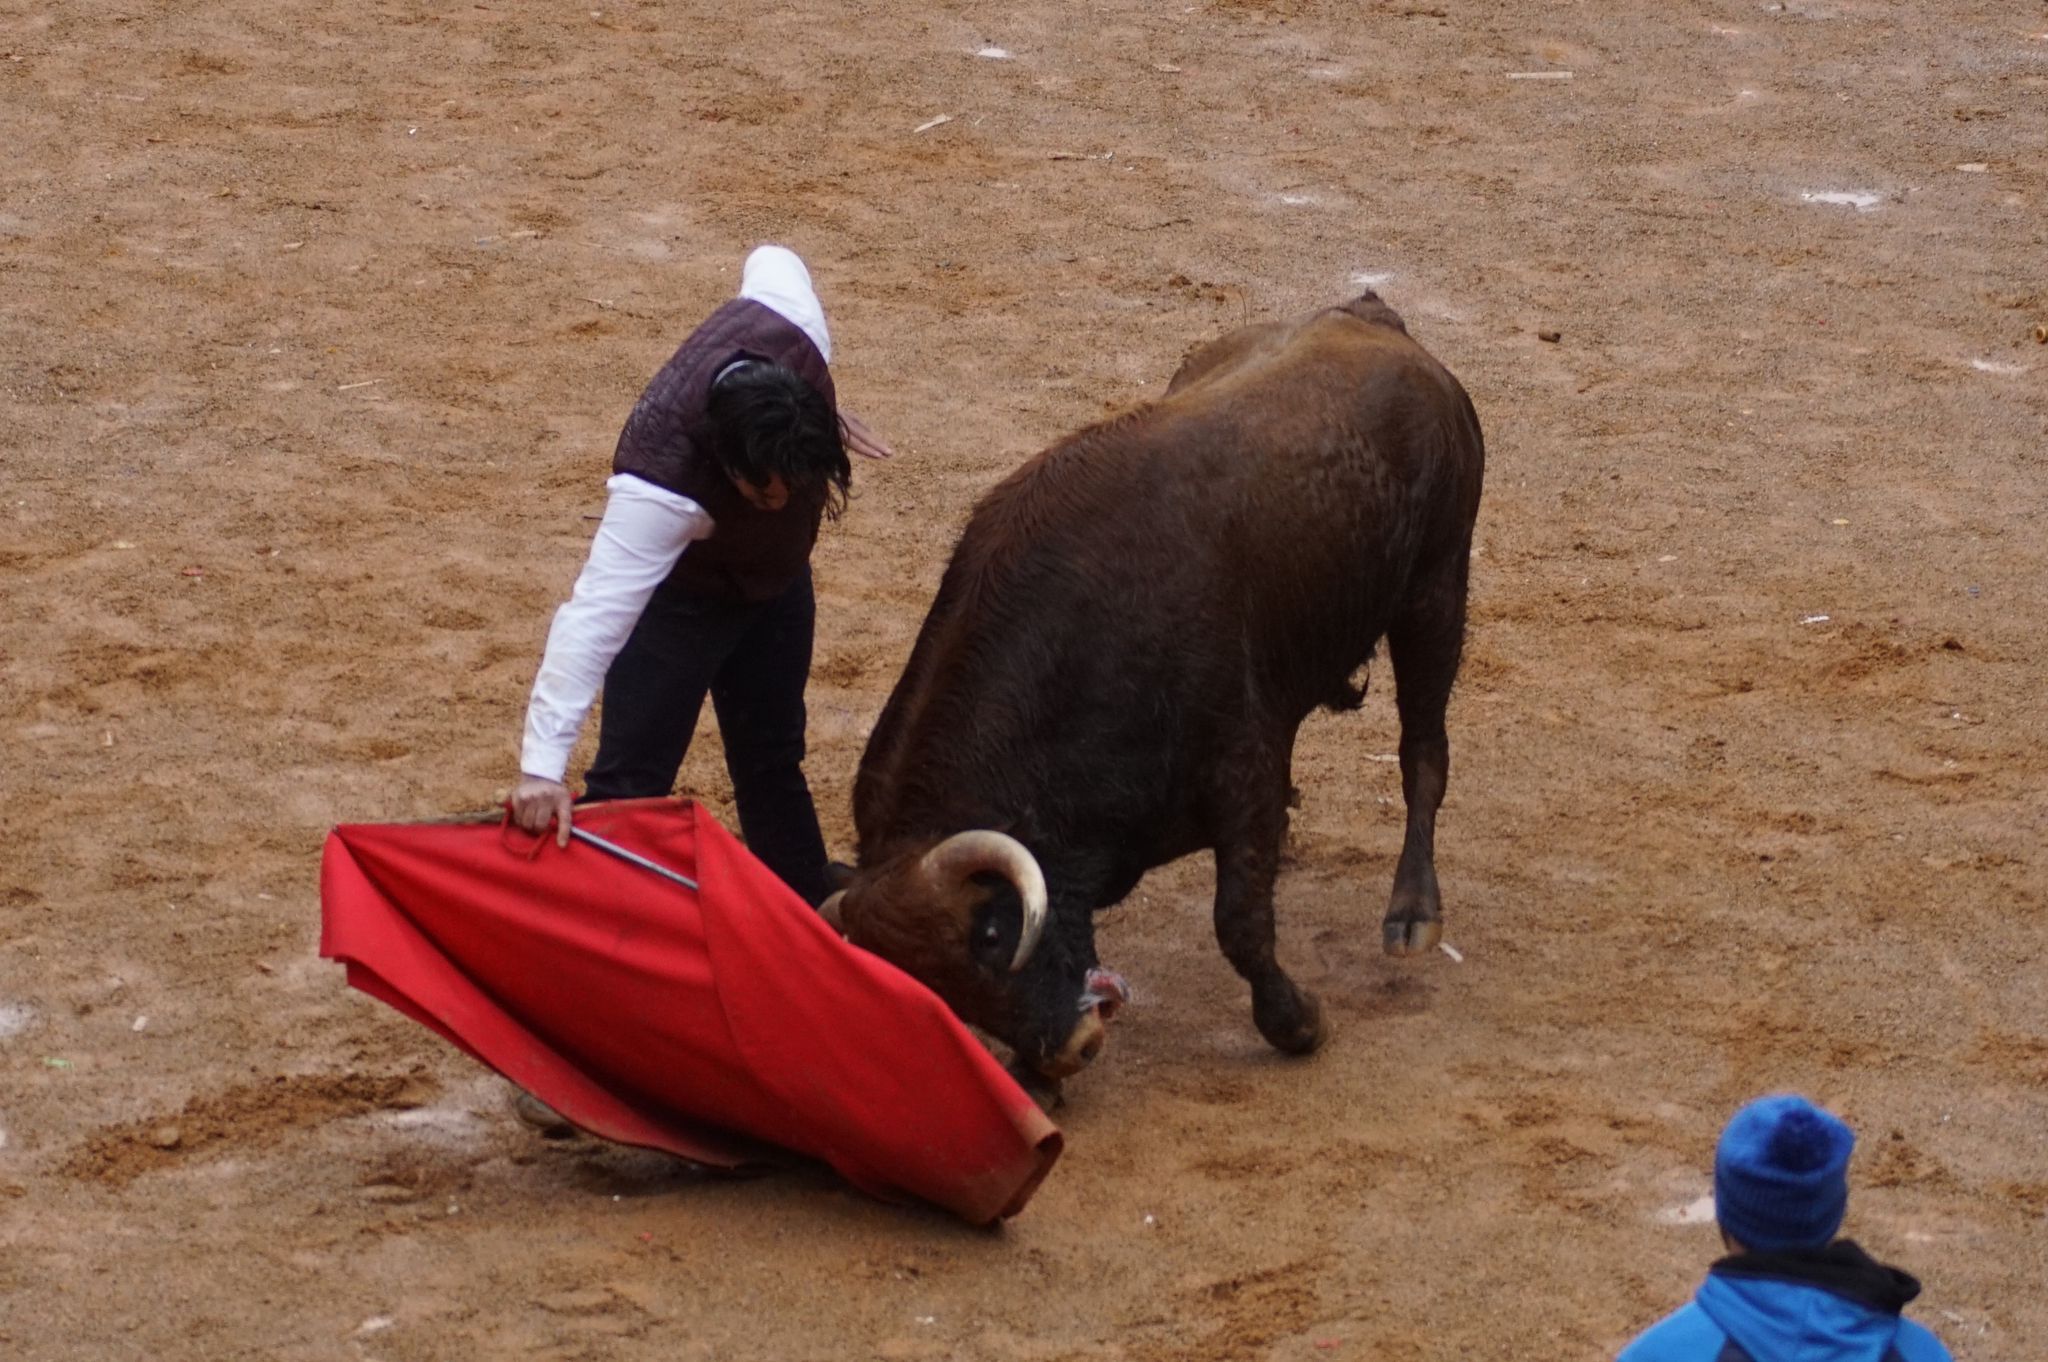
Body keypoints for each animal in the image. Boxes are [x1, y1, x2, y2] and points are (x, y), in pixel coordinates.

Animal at [831, 288, 1490, 1097]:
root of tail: (1369, 316)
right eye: (937, 988)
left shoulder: (1240, 768)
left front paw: (1299, 1024)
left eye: (990, 933)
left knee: (1422, 750)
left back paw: (1413, 913)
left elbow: (1240, 923)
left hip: (1436, 590)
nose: (1069, 1049)